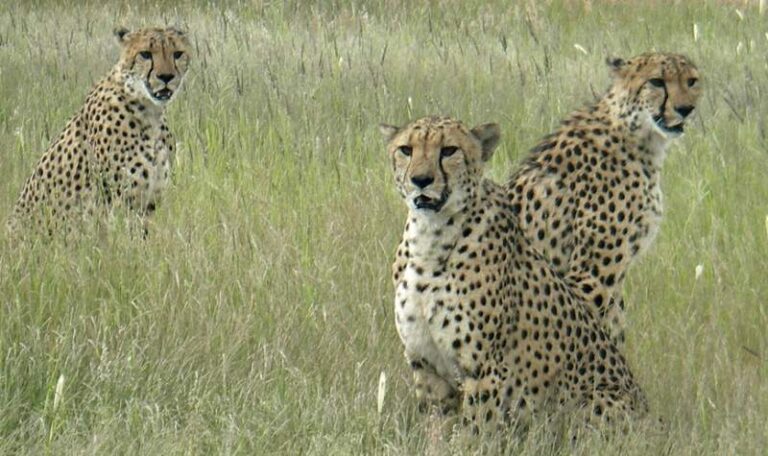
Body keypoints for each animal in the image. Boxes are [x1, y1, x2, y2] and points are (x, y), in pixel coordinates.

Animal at [6, 27, 191, 235]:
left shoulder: (149, 203)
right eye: (145, 54)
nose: (166, 77)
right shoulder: (122, 202)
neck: (150, 111)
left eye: (178, 54)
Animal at [380, 116, 647, 430]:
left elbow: (474, 429)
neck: (429, 238)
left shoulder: (484, 368)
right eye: (406, 149)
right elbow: (436, 429)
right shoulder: (426, 365)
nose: (421, 180)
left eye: (449, 150)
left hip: (588, 402)